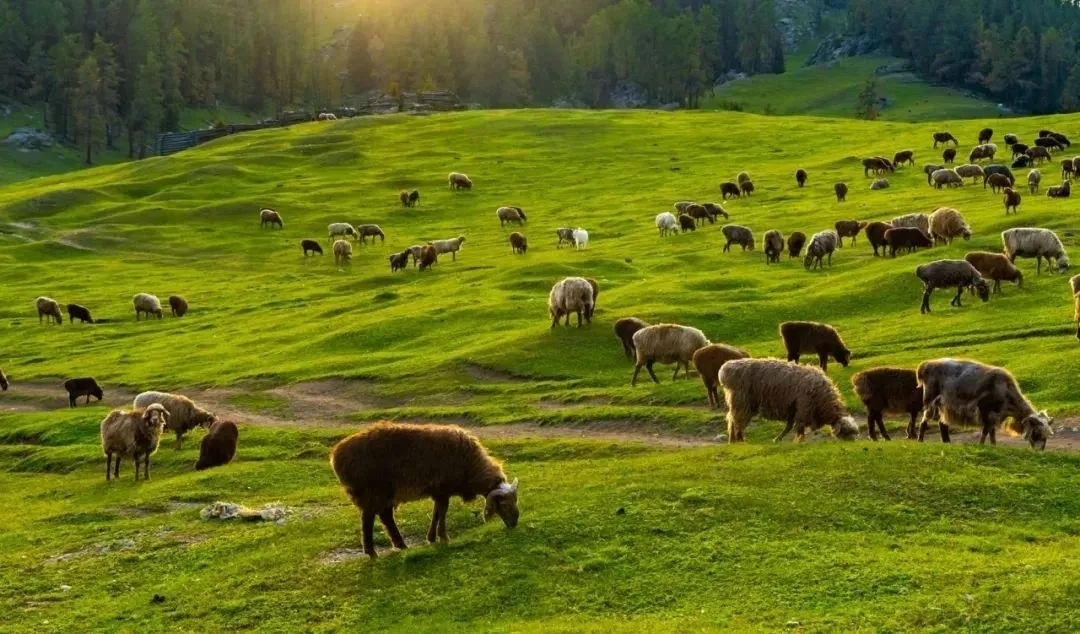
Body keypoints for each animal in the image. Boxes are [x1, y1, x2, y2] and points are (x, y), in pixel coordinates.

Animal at [328, 423, 518, 557]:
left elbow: (436, 513)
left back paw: (401, 545)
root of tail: (336, 456)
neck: (470, 466)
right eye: (504, 505)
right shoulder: (442, 489)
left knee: (385, 516)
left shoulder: (438, 492)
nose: (514, 524)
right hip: (373, 491)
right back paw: (372, 552)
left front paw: (432, 538)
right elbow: (442, 512)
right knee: (368, 519)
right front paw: (443, 538)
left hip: (386, 493)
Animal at [717, 360, 859, 444]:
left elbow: (789, 426)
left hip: (741, 404)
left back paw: (733, 440)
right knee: (736, 421)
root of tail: (725, 368)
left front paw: (777, 439)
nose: (855, 443)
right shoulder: (803, 407)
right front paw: (799, 441)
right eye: (847, 432)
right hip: (742, 402)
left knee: (732, 420)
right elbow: (799, 427)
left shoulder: (793, 408)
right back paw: (739, 439)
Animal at [915, 360, 1049, 449]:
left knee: (942, 423)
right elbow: (986, 430)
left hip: (943, 405)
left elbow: (992, 431)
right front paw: (982, 444)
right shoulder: (984, 410)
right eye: (1037, 432)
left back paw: (947, 442)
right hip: (930, 400)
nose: (1041, 450)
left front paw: (994, 445)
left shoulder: (994, 415)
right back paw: (920, 440)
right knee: (924, 420)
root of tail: (927, 364)